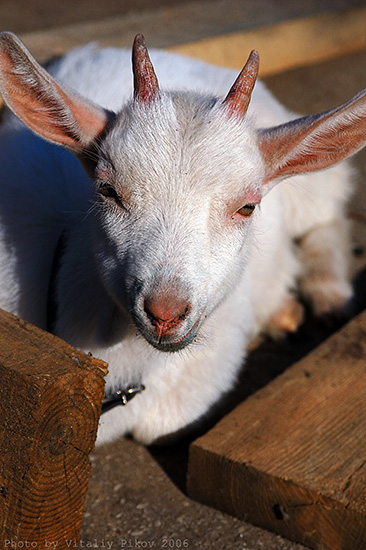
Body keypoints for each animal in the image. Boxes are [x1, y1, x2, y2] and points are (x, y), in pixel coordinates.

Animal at [0, 32, 364, 446]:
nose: (165, 313)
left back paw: (327, 295)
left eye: (247, 207)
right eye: (107, 190)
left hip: (309, 188)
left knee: (330, 208)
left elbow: (161, 425)